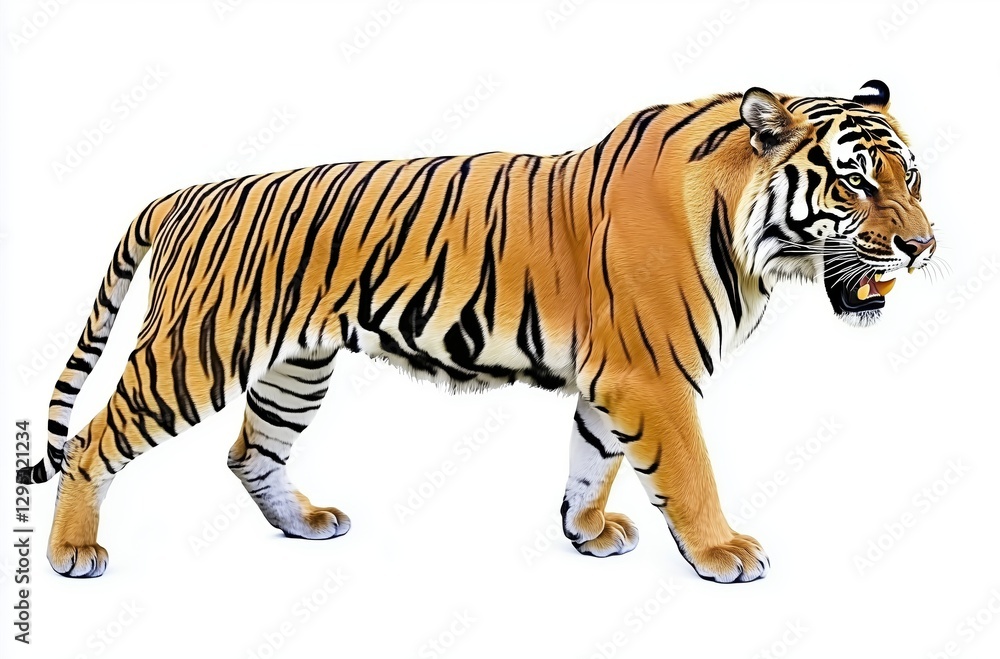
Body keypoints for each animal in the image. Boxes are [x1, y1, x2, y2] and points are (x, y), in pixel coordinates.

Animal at [17, 80, 935, 583]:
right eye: (856, 183)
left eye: (913, 178)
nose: (924, 246)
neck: (752, 239)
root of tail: (184, 193)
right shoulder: (653, 376)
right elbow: (690, 472)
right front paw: (723, 553)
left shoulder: (614, 378)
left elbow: (593, 460)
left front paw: (587, 533)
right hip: (192, 355)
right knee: (93, 439)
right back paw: (72, 552)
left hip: (295, 367)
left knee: (250, 451)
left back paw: (305, 524)